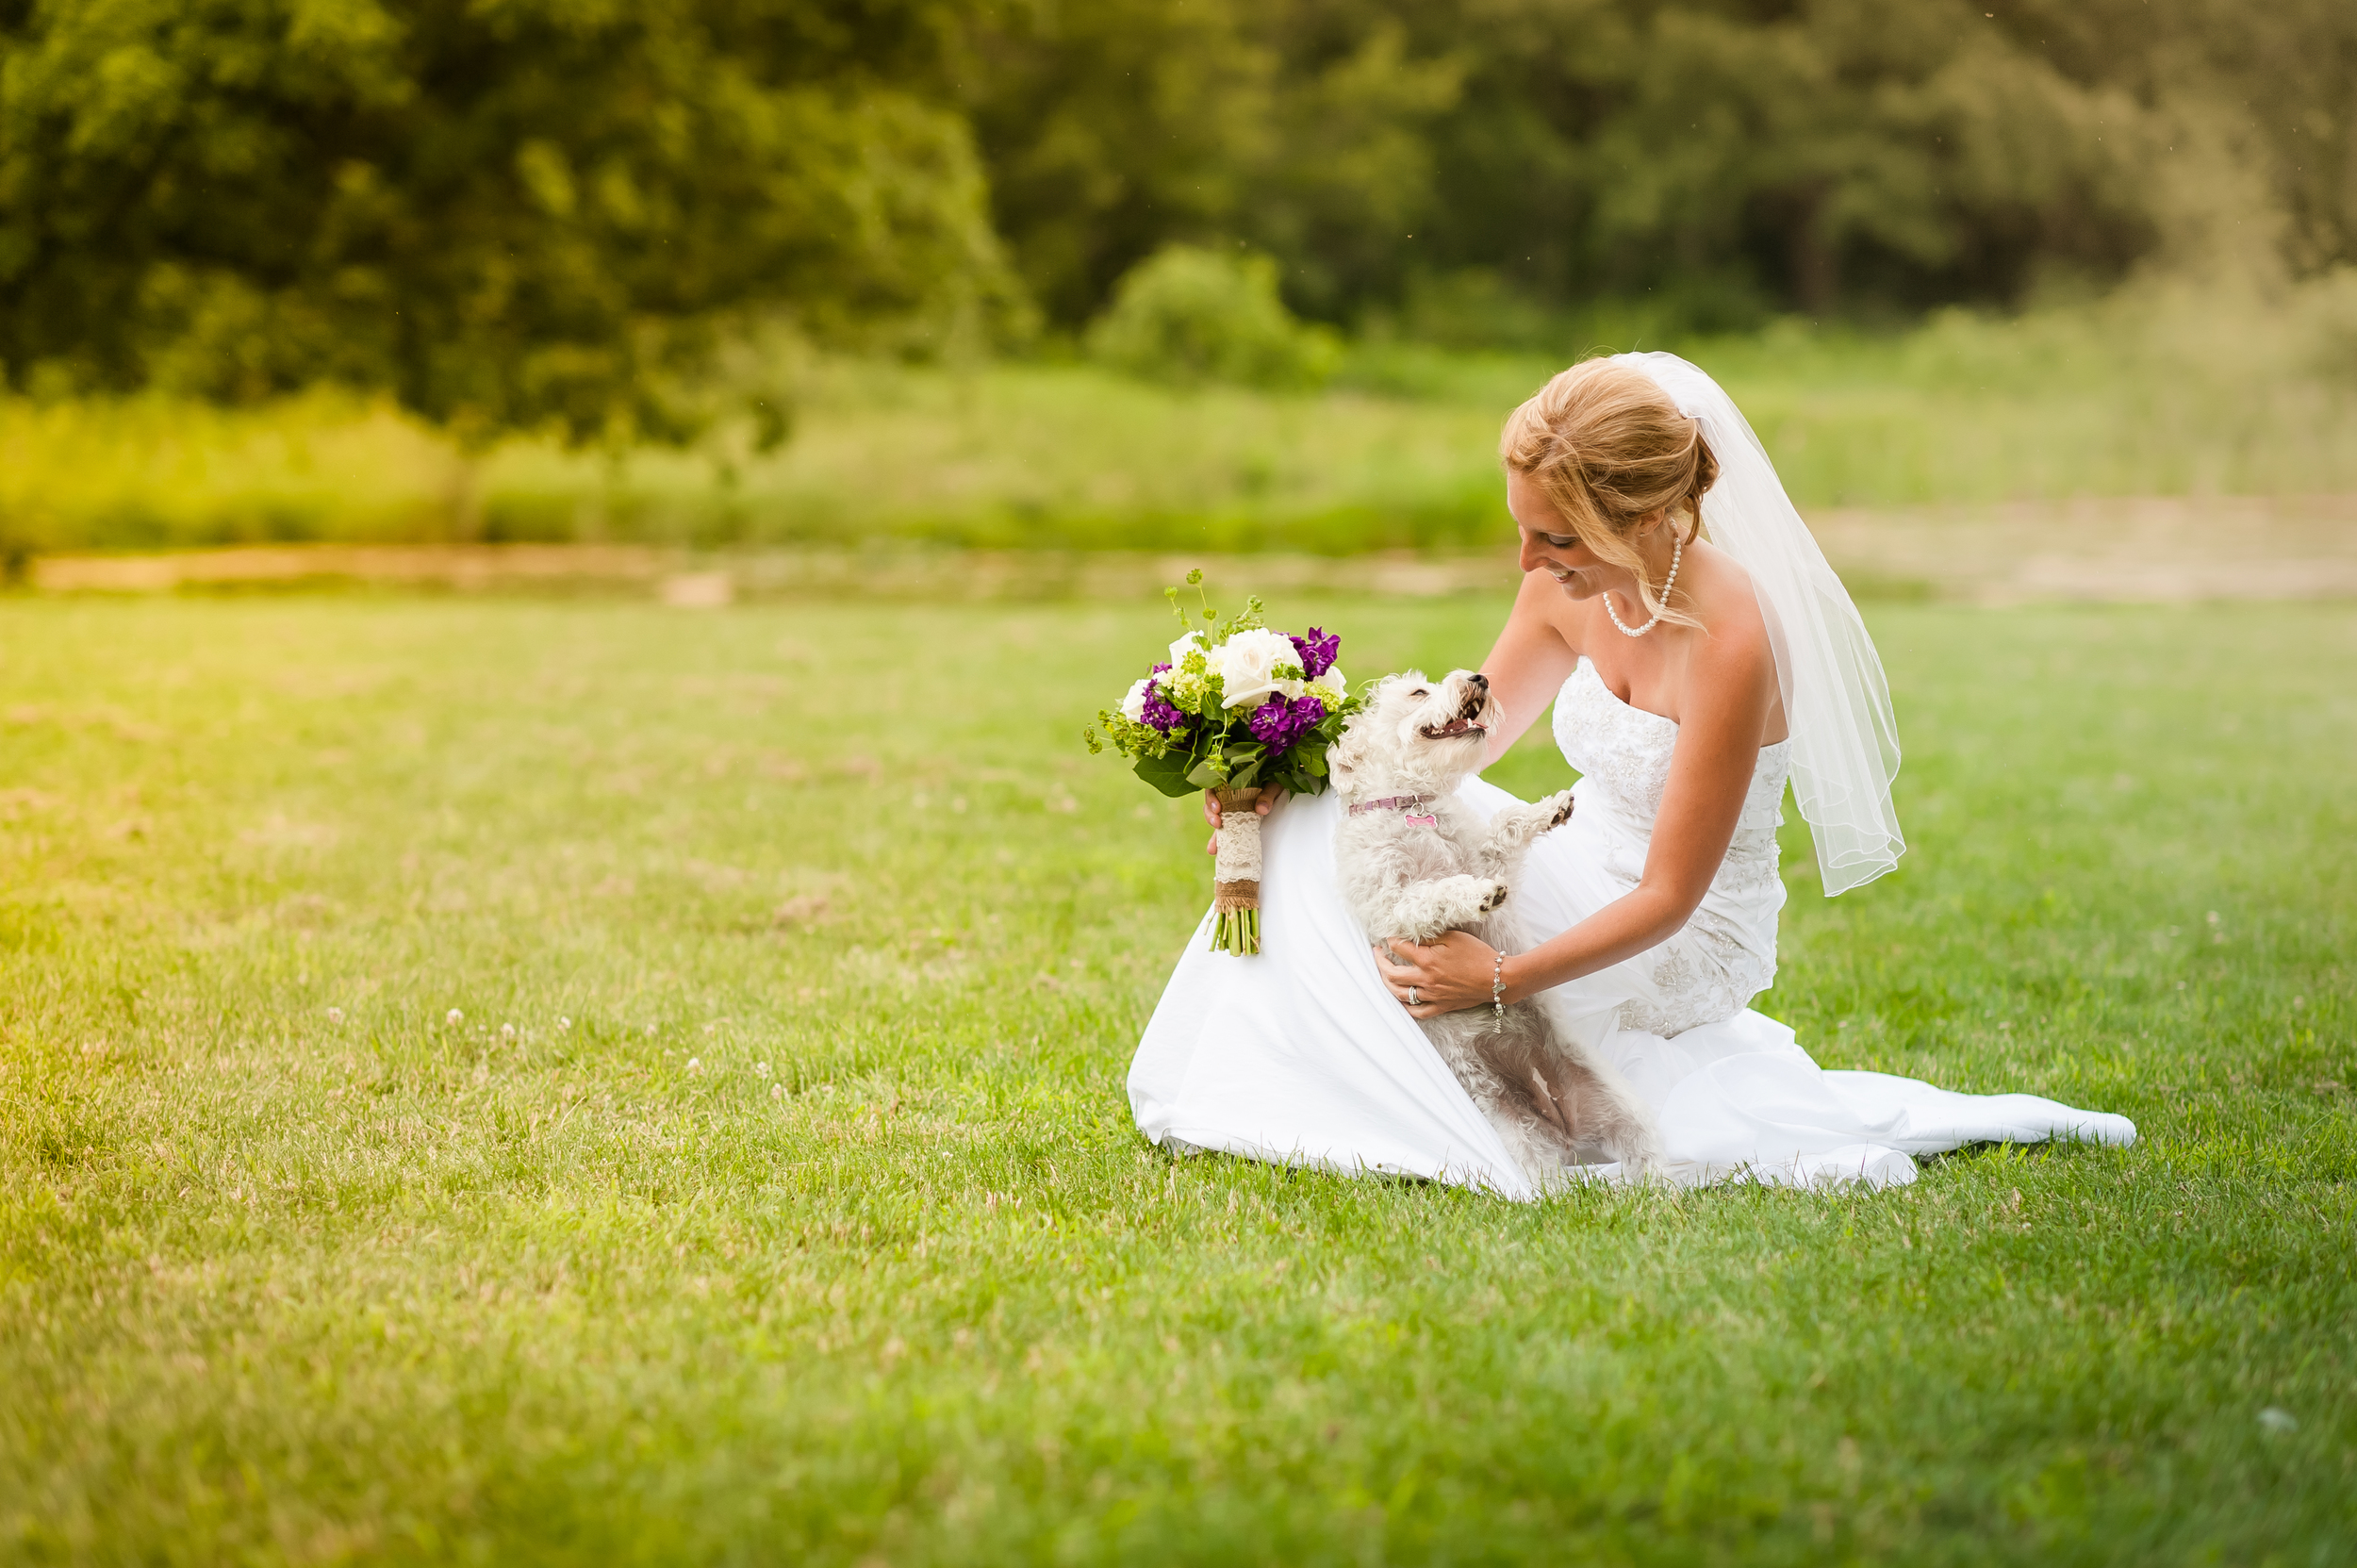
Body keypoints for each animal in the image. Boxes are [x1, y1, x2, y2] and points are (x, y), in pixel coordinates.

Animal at [1339, 665, 1669, 1179]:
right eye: (1417, 692)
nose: (1479, 677)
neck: (1411, 805)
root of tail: (1564, 1127)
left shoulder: (1490, 857)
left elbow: (1505, 827)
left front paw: (1551, 809)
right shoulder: (1393, 906)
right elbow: (1434, 894)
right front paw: (1477, 894)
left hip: (1625, 1115)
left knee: (1651, 1170)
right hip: (1524, 1143)